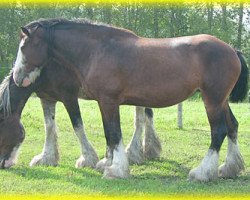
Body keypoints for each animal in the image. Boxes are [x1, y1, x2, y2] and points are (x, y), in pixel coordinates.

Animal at [12, 18, 248, 181]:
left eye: (23, 47)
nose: (17, 77)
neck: (98, 50)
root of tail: (232, 49)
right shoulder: (104, 103)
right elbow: (109, 134)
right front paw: (107, 163)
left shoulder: (108, 101)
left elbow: (114, 134)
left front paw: (116, 170)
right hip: (221, 101)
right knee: (233, 126)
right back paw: (229, 168)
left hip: (212, 101)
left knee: (218, 131)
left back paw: (202, 173)